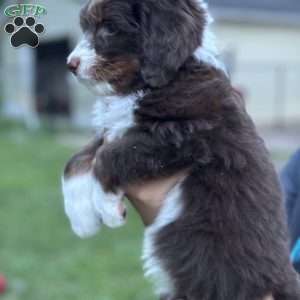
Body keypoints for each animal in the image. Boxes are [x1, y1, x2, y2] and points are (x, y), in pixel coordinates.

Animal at [62, 0, 300, 300]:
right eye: (85, 25)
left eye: (110, 28)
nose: (70, 64)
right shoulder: (113, 129)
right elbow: (76, 159)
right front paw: (81, 217)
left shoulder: (184, 137)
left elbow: (108, 157)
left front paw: (108, 209)